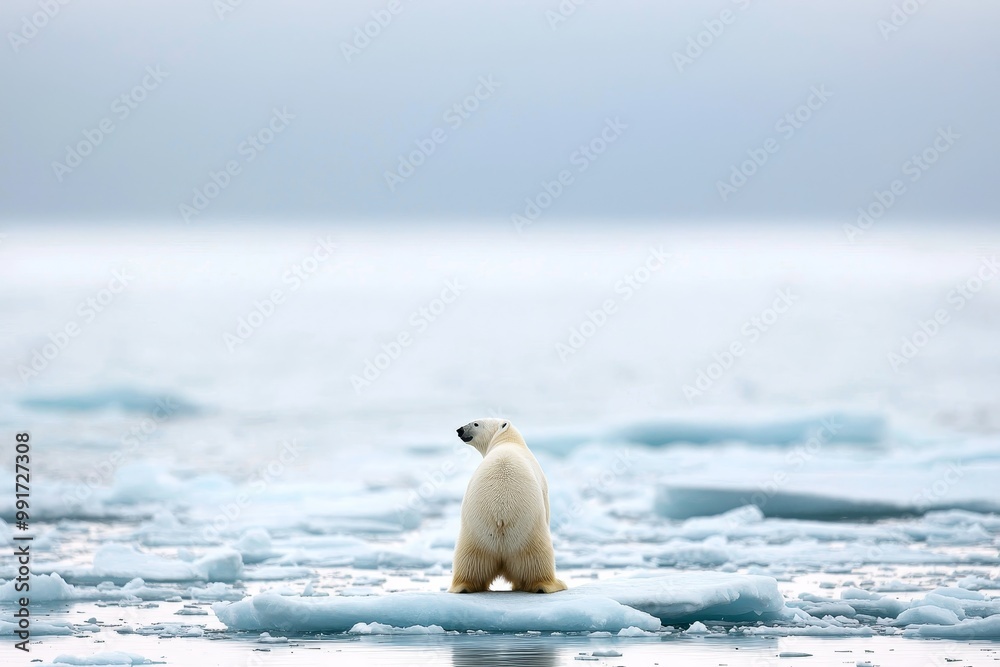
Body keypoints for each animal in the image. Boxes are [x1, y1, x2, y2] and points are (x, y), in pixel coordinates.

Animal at [449, 418, 567, 594]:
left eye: (476, 423)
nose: (460, 430)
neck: (507, 440)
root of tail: (500, 518)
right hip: (530, 534)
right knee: (538, 561)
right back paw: (553, 584)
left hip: (475, 536)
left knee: (470, 562)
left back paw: (463, 586)